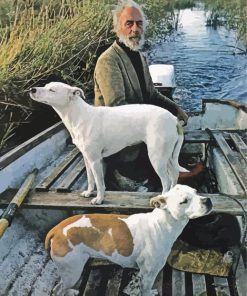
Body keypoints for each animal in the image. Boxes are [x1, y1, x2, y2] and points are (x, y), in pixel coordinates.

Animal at [29, 82, 183, 205]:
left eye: (52, 90)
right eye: (45, 86)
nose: (32, 89)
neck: (79, 116)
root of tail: (174, 119)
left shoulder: (95, 161)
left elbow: (99, 182)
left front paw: (99, 199)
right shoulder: (87, 159)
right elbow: (90, 179)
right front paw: (89, 192)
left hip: (157, 157)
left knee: (166, 181)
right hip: (167, 156)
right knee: (174, 174)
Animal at [44, 185, 212, 296]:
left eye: (196, 192)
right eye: (184, 201)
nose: (208, 200)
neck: (162, 224)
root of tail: (56, 230)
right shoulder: (148, 273)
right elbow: (145, 290)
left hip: (70, 270)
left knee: (59, 288)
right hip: (72, 271)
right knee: (58, 289)